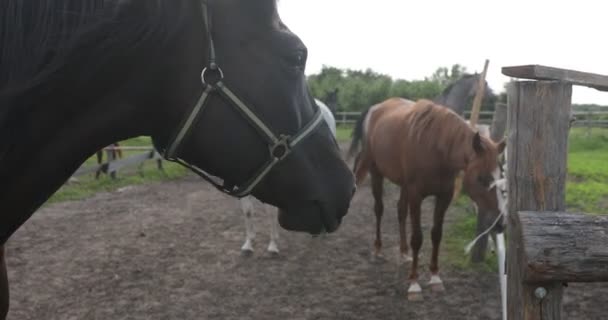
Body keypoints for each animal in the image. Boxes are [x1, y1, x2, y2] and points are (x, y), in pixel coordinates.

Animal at [352, 97, 504, 300]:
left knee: (401, 211)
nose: (500, 223)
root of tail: (375, 108)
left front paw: (435, 277)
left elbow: (436, 234)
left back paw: (404, 252)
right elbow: (417, 238)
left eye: (501, 174)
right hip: (376, 173)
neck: (436, 148)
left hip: (404, 185)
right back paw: (377, 249)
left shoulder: (444, 197)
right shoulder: (416, 196)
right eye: (481, 178)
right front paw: (414, 284)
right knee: (379, 209)